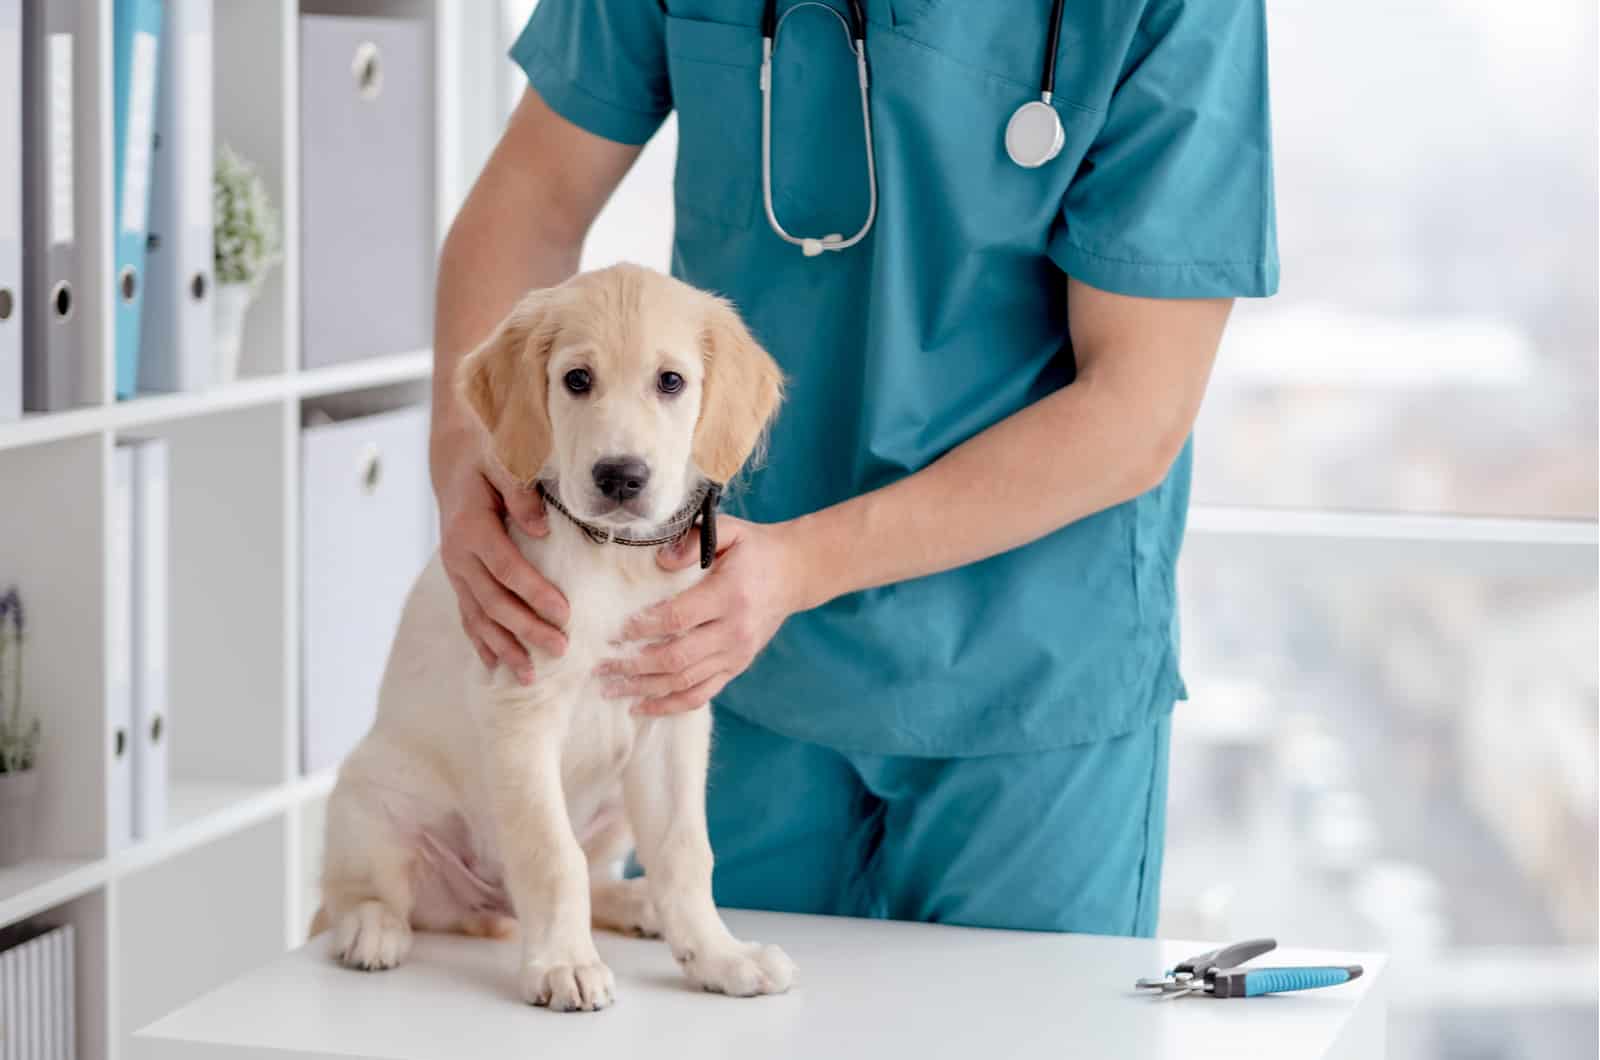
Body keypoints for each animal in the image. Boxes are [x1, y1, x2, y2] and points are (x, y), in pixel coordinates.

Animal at [315, 264, 790, 1011]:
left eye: (671, 381)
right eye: (577, 379)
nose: (621, 476)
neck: (616, 560)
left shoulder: (672, 713)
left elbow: (685, 851)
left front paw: (719, 955)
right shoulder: (521, 706)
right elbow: (549, 853)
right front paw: (563, 964)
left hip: (619, 804)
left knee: (599, 875)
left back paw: (637, 905)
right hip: (371, 799)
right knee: (365, 892)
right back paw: (371, 929)